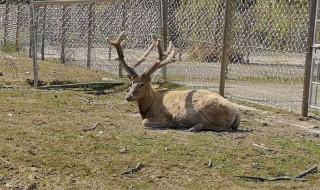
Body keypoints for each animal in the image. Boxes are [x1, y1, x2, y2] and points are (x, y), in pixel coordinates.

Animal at [107, 31, 240, 132]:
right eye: (131, 83)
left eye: (141, 84)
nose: (128, 97)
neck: (149, 107)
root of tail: (236, 112)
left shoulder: (163, 114)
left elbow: (144, 122)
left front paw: (170, 123)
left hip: (207, 109)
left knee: (225, 127)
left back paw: (190, 126)